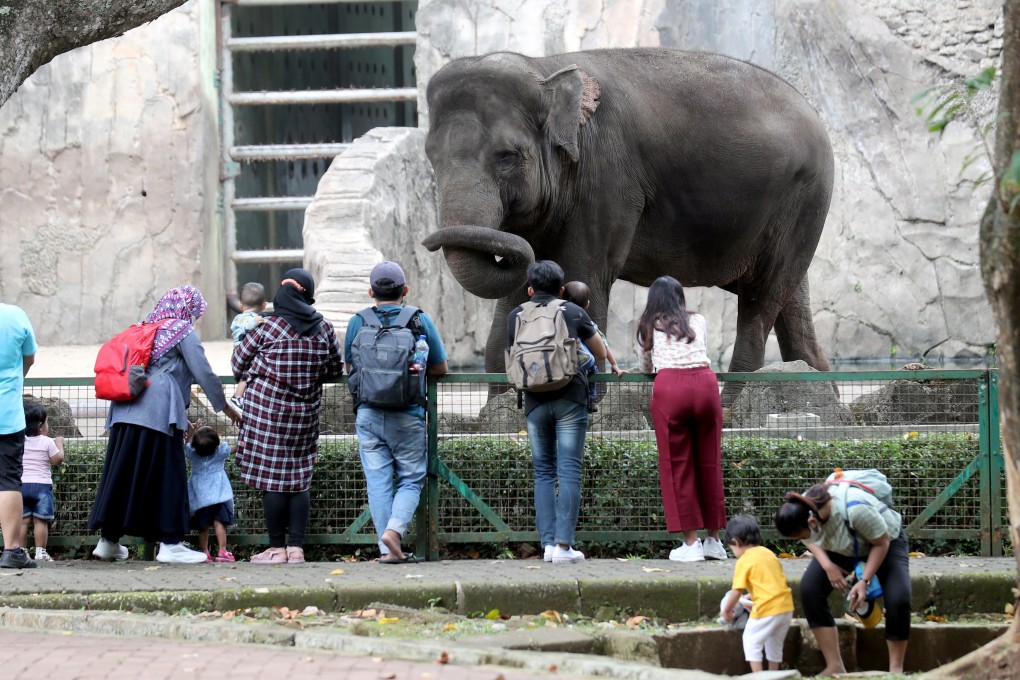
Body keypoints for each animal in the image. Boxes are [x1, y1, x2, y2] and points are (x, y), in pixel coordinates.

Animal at [421, 48, 833, 377]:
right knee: (791, 305)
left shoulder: (606, 178)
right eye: (430, 156)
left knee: (760, 303)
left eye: (507, 157)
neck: (545, 67)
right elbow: (518, 297)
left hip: (804, 201)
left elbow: (583, 275)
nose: (427, 243)